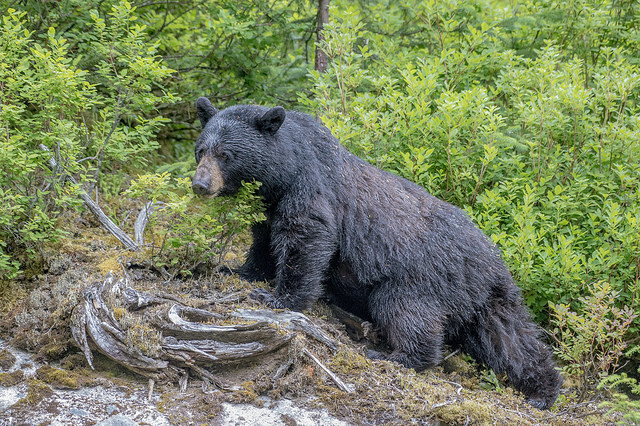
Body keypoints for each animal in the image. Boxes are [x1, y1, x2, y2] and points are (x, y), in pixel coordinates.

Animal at [192, 96, 564, 410]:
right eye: (200, 150)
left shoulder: (310, 191)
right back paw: (543, 389)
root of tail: (489, 264)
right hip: (492, 301)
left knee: (407, 314)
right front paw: (239, 271)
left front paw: (277, 297)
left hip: (418, 279)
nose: (200, 184)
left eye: (225, 154)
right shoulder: (267, 207)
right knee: (511, 339)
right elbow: (263, 241)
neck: (284, 172)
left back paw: (396, 356)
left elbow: (306, 238)